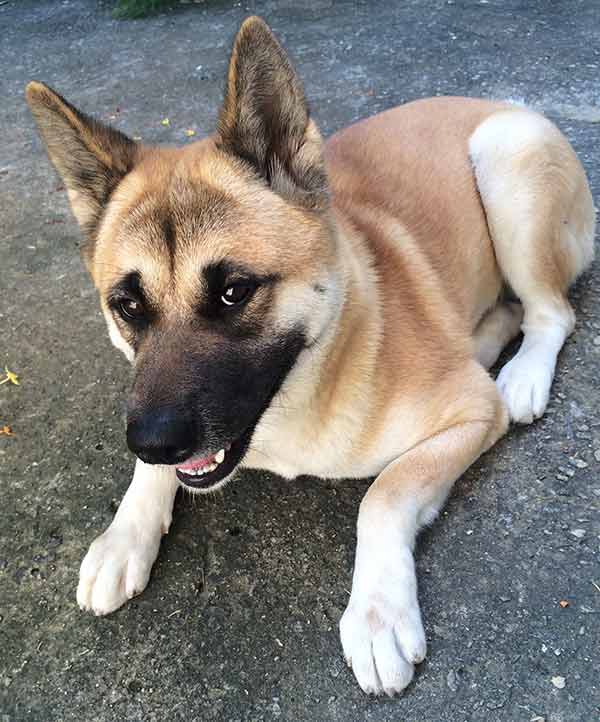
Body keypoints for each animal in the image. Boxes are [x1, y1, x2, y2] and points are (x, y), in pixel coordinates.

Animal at [25, 15, 592, 692]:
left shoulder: (471, 413)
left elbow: (384, 495)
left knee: (551, 313)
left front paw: (377, 614)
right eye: (128, 306)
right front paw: (124, 534)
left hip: (506, 162)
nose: (155, 442)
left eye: (234, 292)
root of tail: (497, 103)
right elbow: (147, 476)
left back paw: (523, 372)